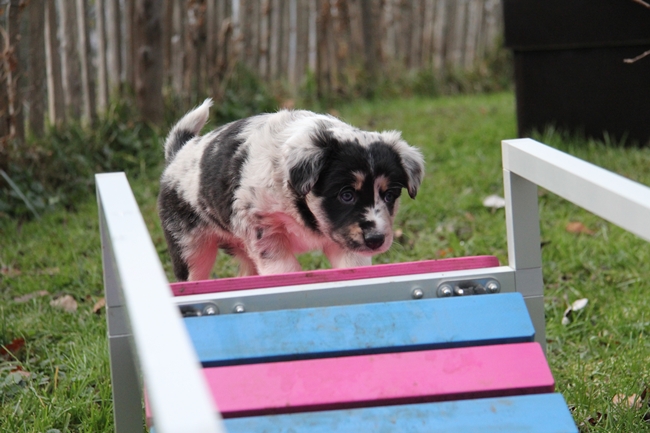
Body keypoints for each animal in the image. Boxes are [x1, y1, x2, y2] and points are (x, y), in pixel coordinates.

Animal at [158, 99, 424, 281]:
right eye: (346, 195)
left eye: (389, 195)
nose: (376, 240)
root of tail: (177, 153)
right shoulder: (263, 228)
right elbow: (284, 268)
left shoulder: (344, 241)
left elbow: (353, 265)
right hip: (190, 248)